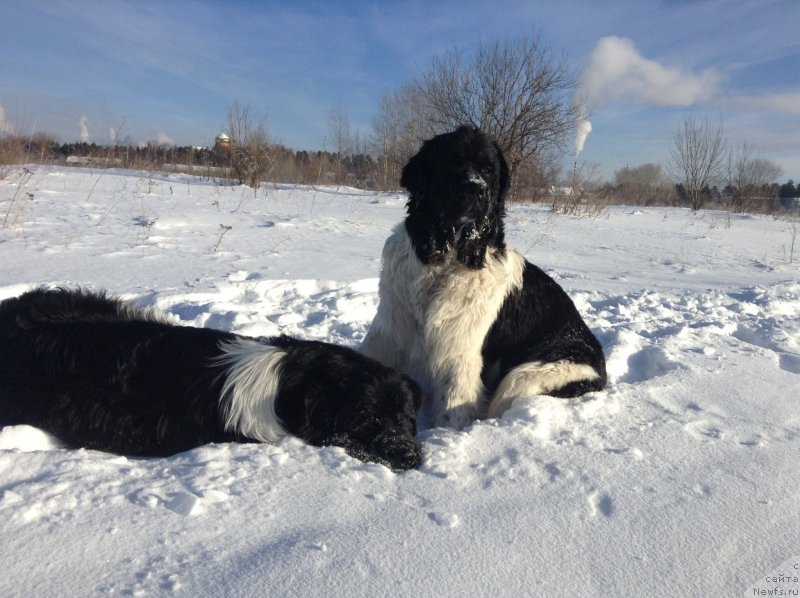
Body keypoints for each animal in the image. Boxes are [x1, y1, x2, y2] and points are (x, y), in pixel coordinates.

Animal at [360, 124, 604, 428]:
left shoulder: (458, 356)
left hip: (526, 378)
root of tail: (601, 368)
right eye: (451, 162)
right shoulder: (390, 331)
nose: (476, 188)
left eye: (488, 170)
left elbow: (451, 409)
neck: (446, 257)